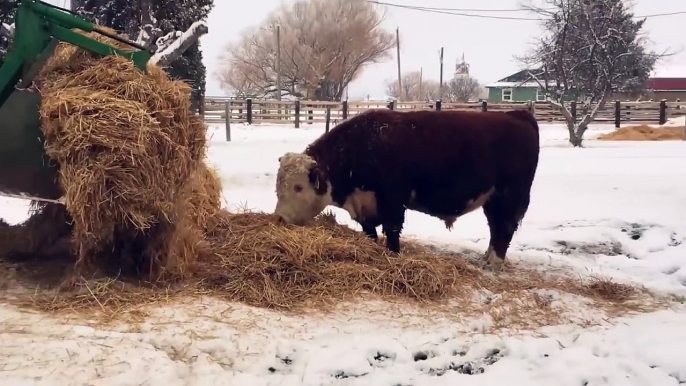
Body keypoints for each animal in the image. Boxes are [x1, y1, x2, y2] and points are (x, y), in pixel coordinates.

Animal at [272, 108, 540, 272]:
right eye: (278, 187)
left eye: (298, 187)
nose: (279, 219)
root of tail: (516, 115)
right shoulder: (365, 206)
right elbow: (370, 233)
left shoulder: (392, 201)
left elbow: (392, 231)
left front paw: (392, 256)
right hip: (492, 200)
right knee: (496, 228)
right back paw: (486, 257)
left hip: (508, 197)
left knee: (504, 229)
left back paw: (493, 263)